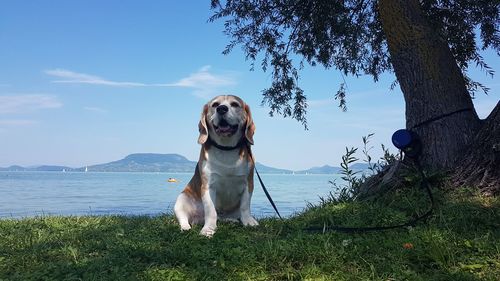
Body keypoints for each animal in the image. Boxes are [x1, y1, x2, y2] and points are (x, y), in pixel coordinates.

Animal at [175, 94, 260, 236]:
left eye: (235, 104)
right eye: (215, 105)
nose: (221, 109)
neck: (226, 148)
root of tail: (198, 219)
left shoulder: (248, 183)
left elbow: (245, 206)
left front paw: (248, 221)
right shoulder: (208, 186)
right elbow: (211, 211)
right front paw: (208, 229)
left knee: (224, 217)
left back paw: (231, 220)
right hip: (181, 199)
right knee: (184, 218)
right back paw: (186, 227)